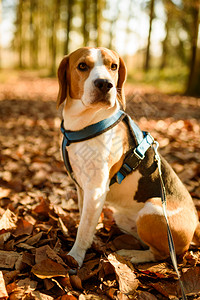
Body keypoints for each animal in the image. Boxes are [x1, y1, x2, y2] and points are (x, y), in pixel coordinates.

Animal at [57, 48, 199, 268]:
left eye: (113, 66)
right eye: (82, 65)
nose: (105, 84)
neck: (85, 123)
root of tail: (195, 224)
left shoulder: (95, 190)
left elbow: (84, 229)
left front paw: (75, 256)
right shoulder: (82, 188)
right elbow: (85, 221)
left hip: (152, 212)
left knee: (162, 254)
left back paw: (132, 255)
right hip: (125, 217)